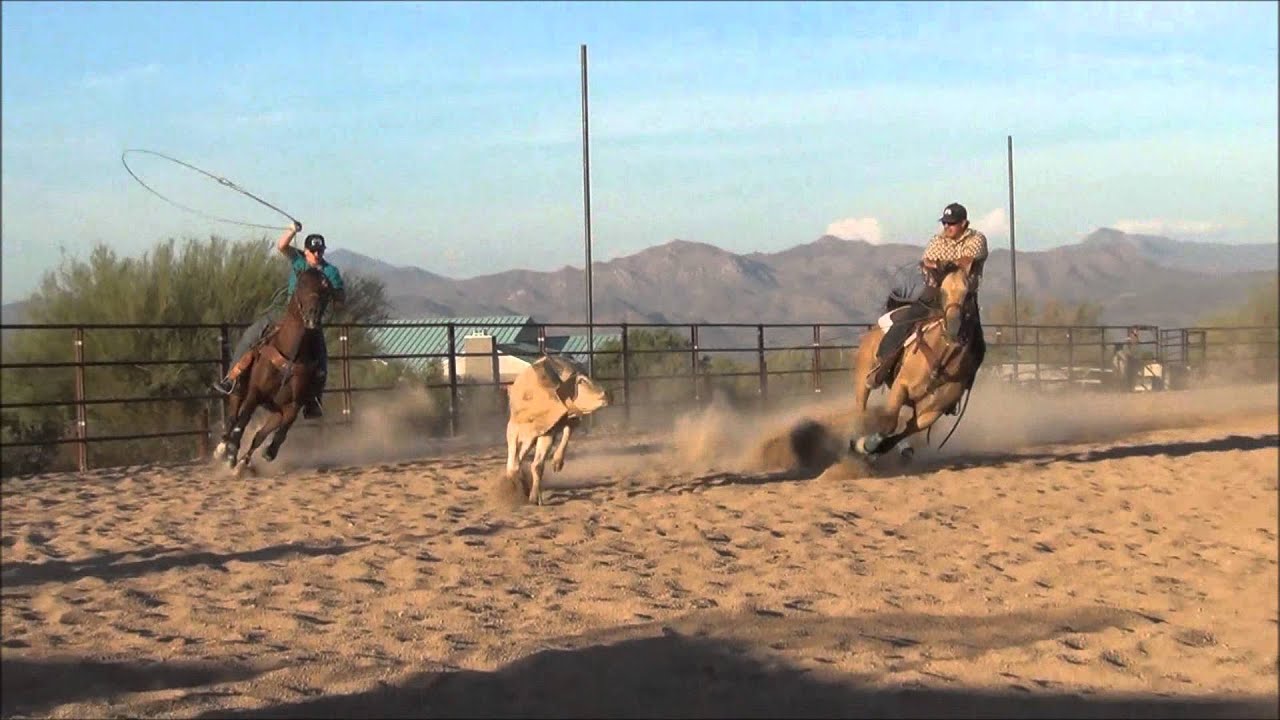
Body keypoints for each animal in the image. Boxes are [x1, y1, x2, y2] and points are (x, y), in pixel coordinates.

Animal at [848, 258, 984, 460]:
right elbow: (890, 423)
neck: (941, 358)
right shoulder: (901, 385)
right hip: (864, 375)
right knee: (861, 407)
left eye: (968, 294)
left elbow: (903, 430)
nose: (953, 328)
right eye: (942, 292)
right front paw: (865, 445)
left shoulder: (932, 411)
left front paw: (882, 448)